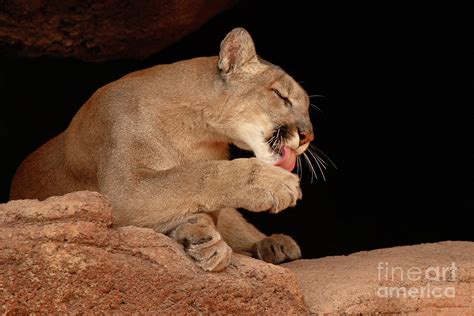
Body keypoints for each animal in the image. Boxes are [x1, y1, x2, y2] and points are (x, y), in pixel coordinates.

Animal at [9, 27, 314, 272]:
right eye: (281, 96)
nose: (308, 135)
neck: (197, 133)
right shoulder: (125, 191)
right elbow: (195, 176)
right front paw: (273, 183)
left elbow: (195, 195)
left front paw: (202, 239)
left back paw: (277, 244)